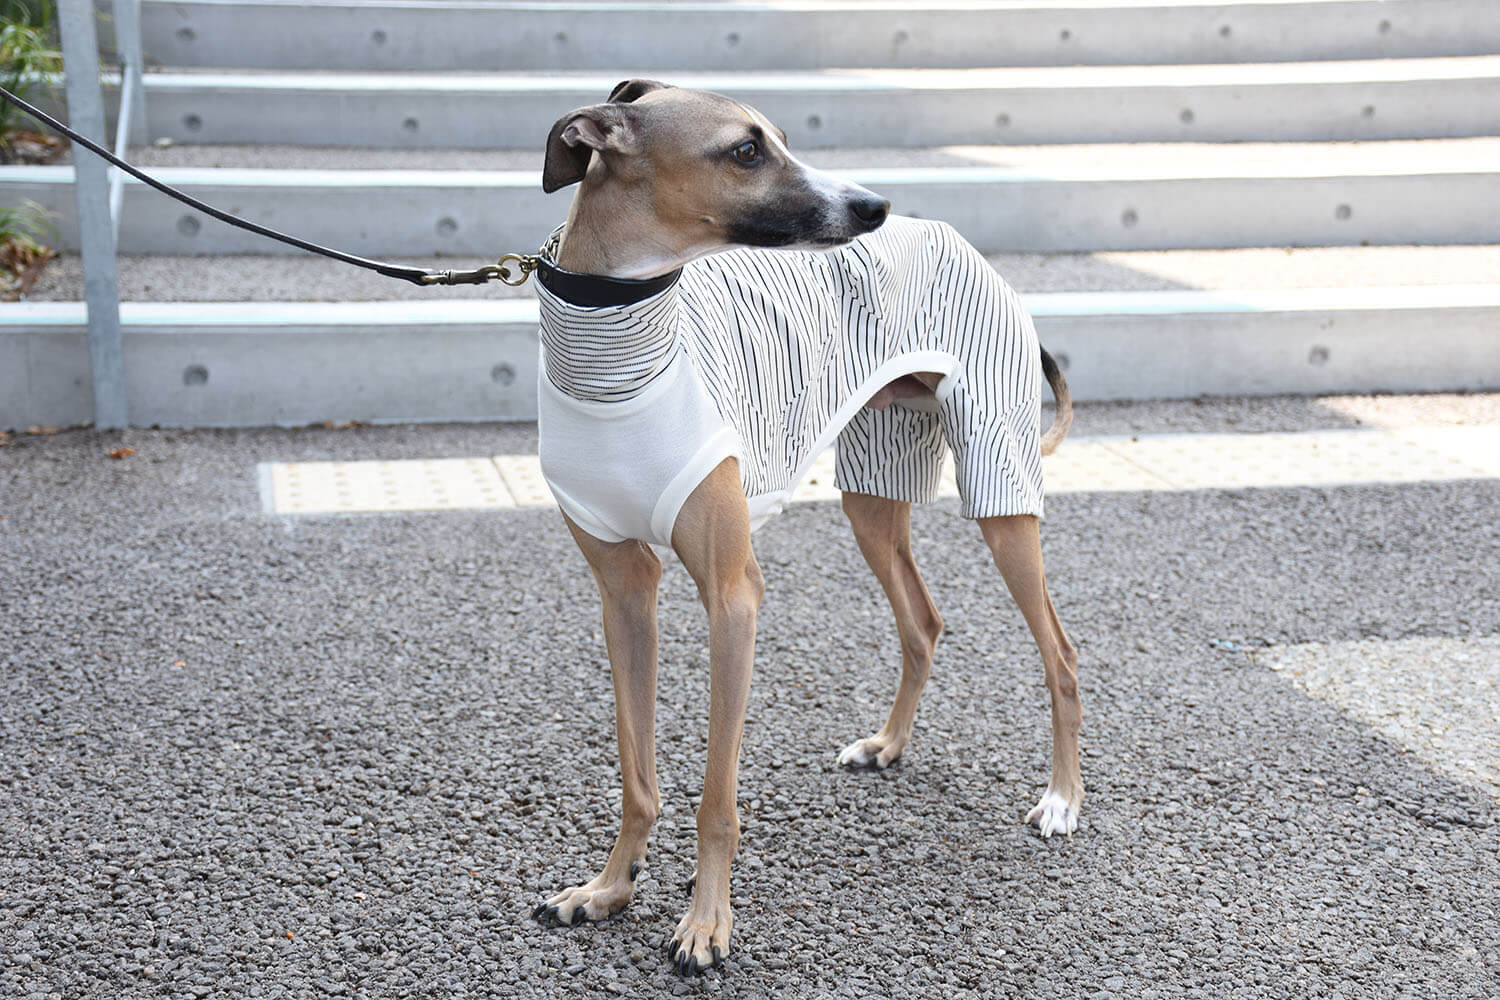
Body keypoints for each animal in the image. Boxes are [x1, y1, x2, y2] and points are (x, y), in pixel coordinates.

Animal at [528, 80, 1081, 975]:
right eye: (746, 150)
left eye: (777, 137)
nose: (874, 207)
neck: (613, 354)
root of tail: (955, 239)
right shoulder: (624, 593)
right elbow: (636, 770)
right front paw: (608, 889)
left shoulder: (733, 596)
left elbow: (717, 797)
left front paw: (706, 925)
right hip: (872, 493)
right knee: (923, 621)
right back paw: (888, 744)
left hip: (1001, 490)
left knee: (1059, 653)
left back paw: (1062, 799)